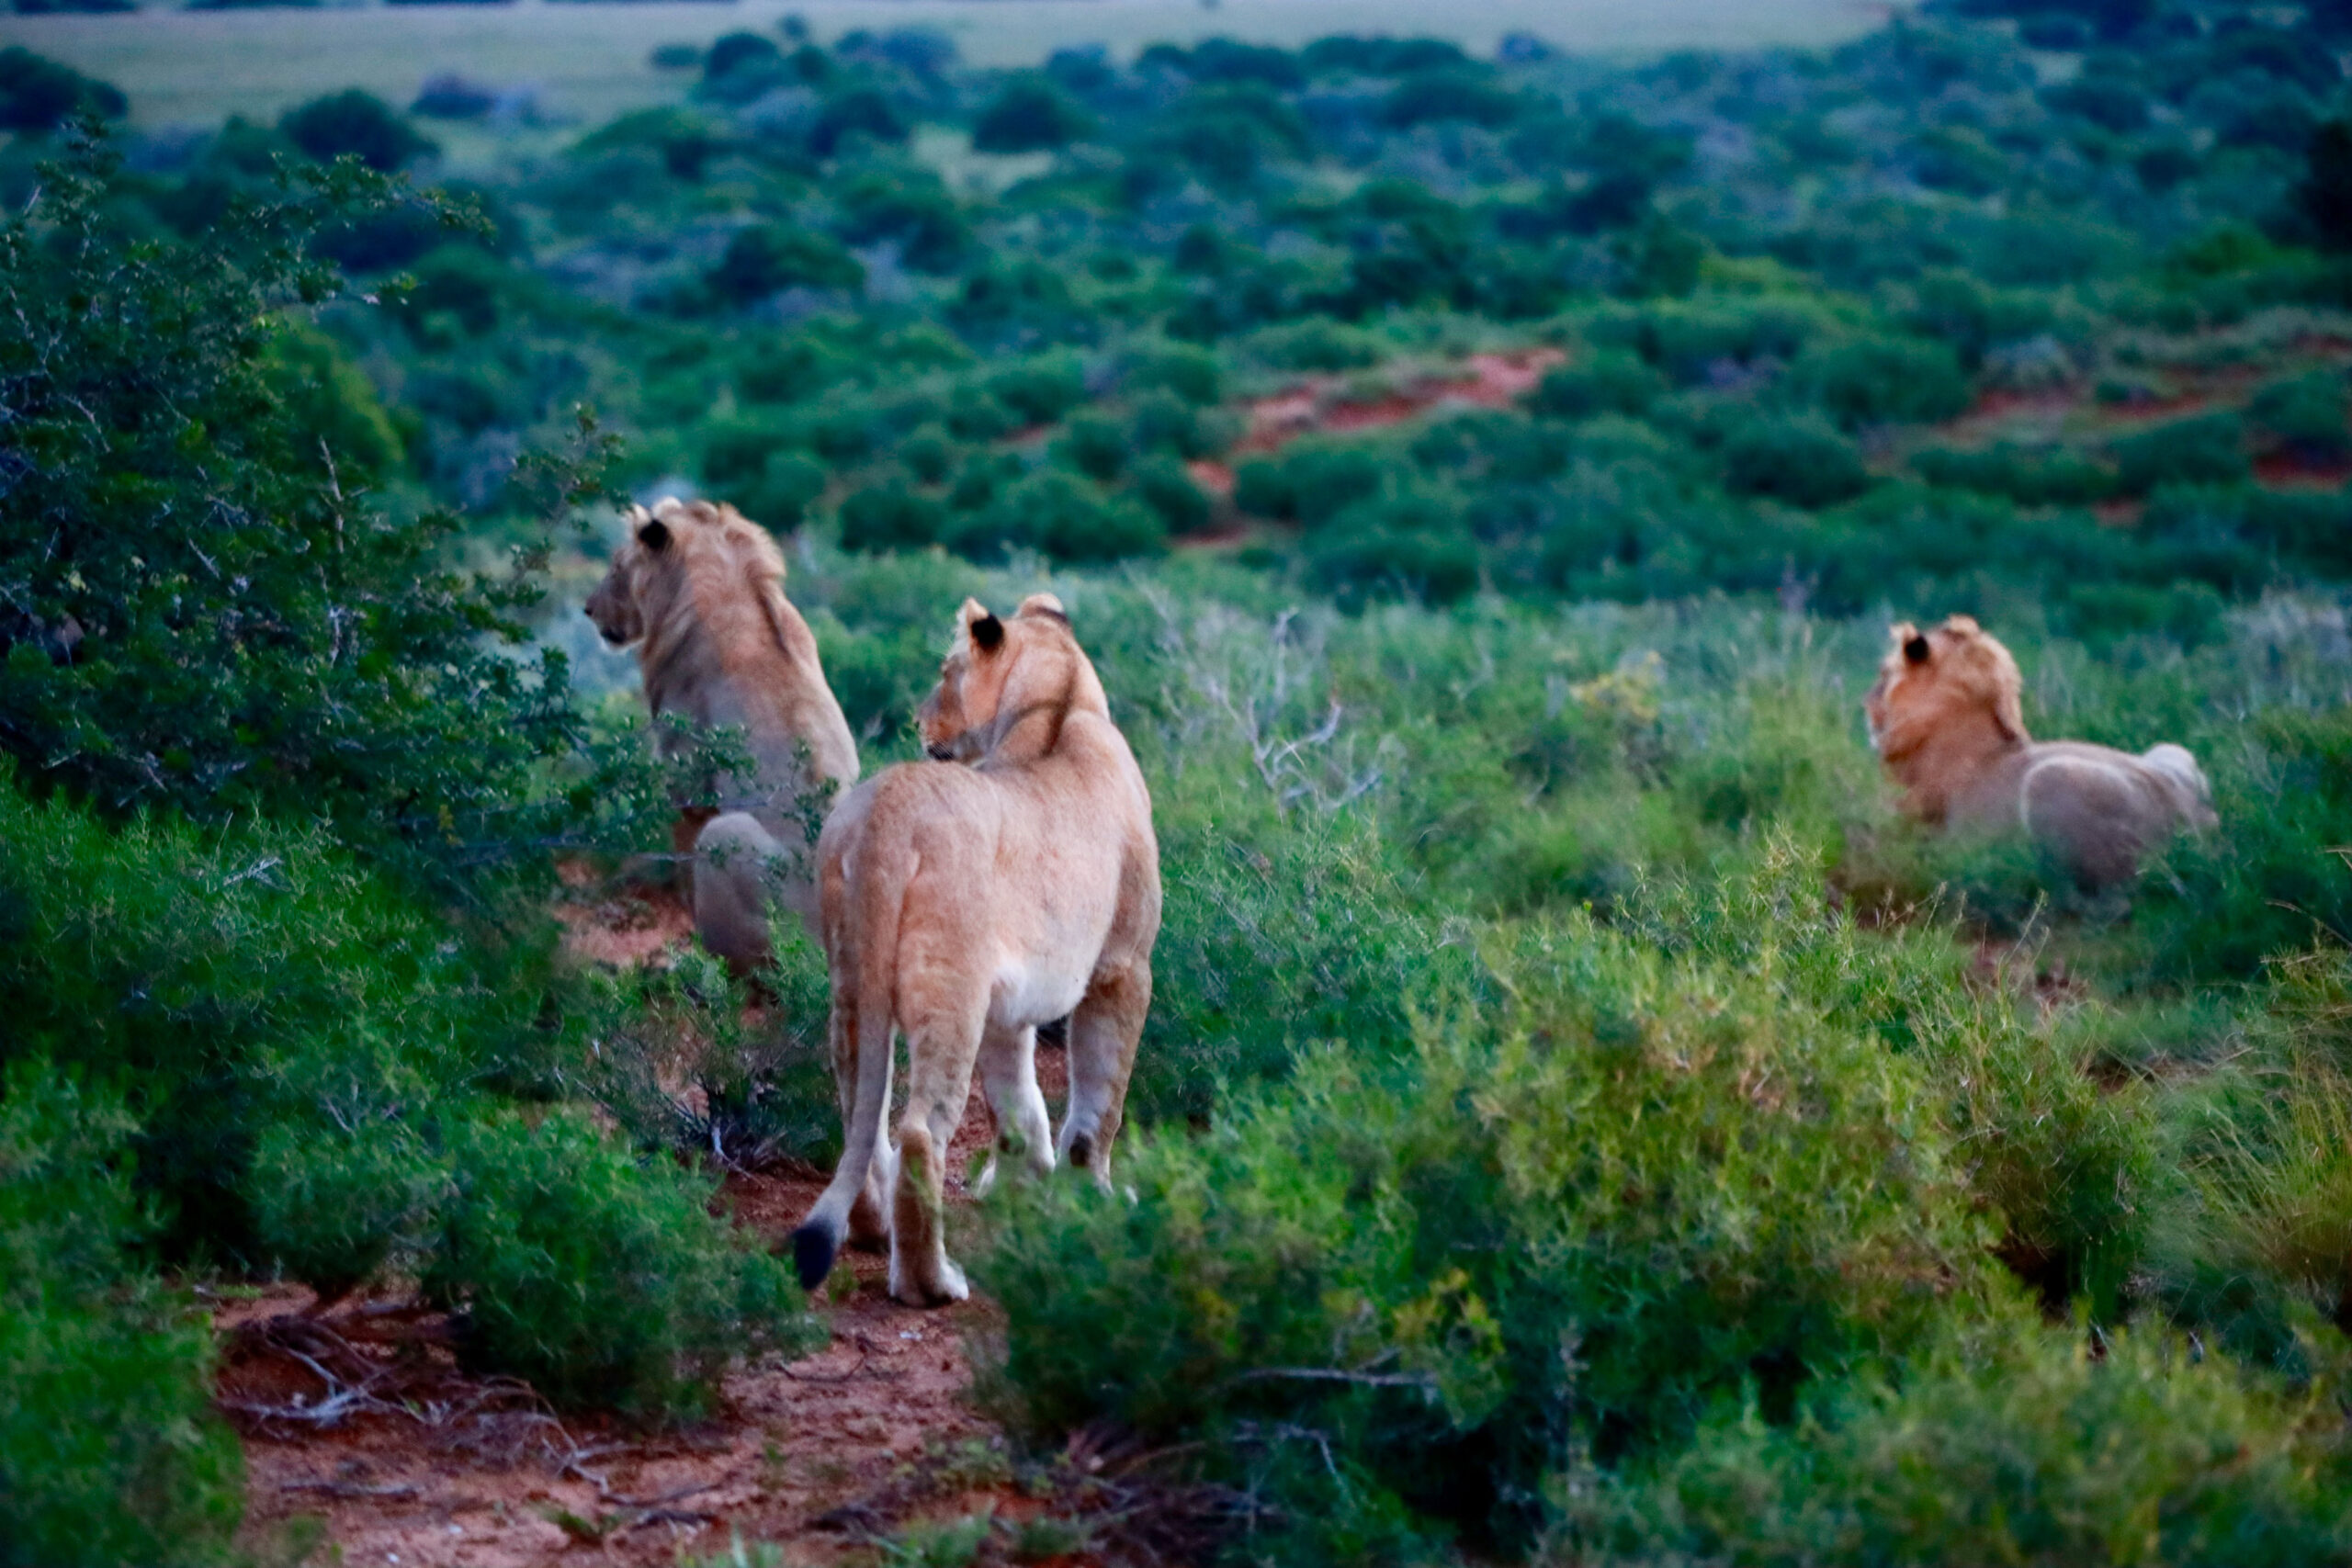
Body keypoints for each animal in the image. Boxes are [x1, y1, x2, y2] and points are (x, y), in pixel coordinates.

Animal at [789, 594, 1162, 1306]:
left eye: (945, 672)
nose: (916, 718)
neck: (1058, 702)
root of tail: (890, 809)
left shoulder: (1007, 998)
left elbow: (1017, 1099)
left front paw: (1022, 1181)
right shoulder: (1123, 968)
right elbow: (1099, 1097)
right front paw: (1093, 1192)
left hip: (852, 981)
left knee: (859, 1106)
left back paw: (873, 1228)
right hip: (950, 989)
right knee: (919, 1131)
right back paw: (931, 1282)